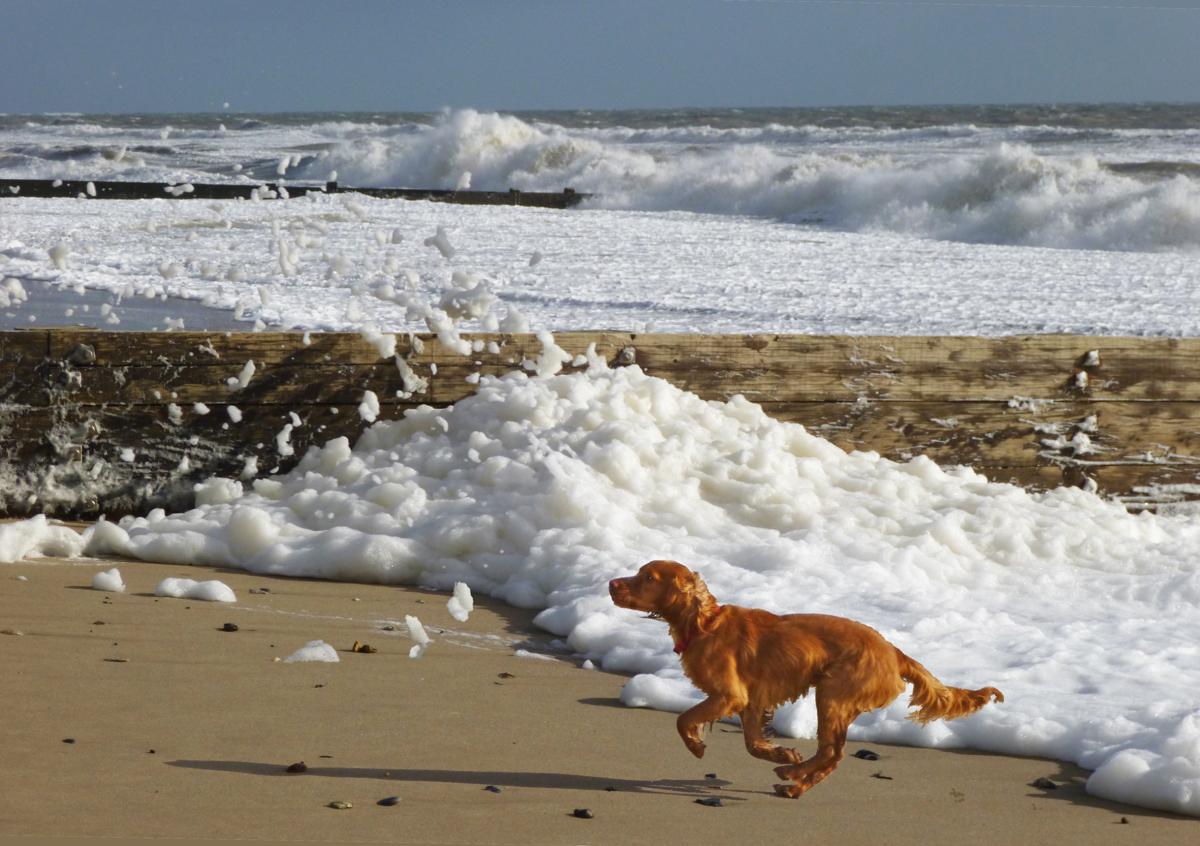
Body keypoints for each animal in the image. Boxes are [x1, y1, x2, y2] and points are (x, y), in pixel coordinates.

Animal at [609, 556, 1003, 796]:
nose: (611, 583)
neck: (704, 625)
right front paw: (782, 752)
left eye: (648, 577)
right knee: (834, 754)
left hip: (832, 694)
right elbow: (753, 744)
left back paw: (792, 777)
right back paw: (795, 784)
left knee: (832, 751)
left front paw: (695, 744)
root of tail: (893, 651)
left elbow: (683, 719)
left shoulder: (730, 695)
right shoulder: (751, 702)